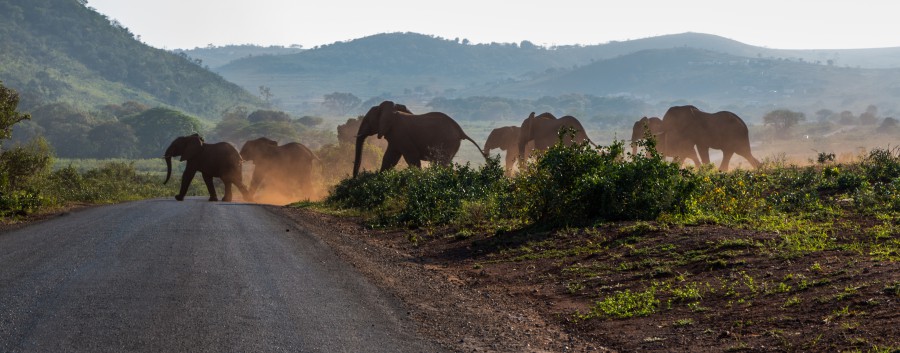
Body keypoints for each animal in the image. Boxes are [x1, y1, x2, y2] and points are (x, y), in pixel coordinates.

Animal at [356, 99, 488, 177]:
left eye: (367, 121)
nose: (355, 178)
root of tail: (461, 131)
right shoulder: (395, 138)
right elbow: (389, 158)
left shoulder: (401, 135)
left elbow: (411, 157)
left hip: (448, 142)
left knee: (440, 162)